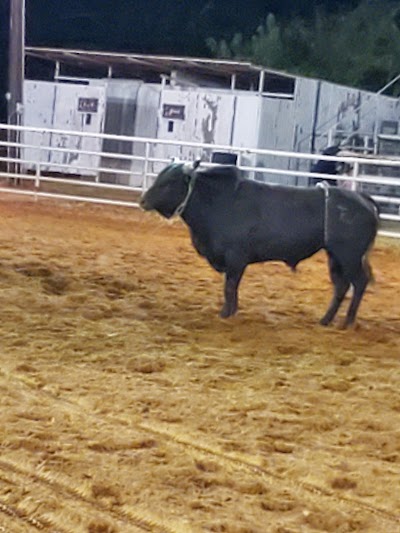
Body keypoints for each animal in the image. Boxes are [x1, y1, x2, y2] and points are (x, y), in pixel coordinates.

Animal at [140, 160, 378, 326]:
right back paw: (326, 320)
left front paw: (225, 313)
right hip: (335, 256)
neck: (220, 202)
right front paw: (231, 311)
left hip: (350, 256)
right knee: (341, 286)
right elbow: (231, 288)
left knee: (359, 282)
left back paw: (347, 322)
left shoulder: (236, 258)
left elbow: (230, 287)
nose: (143, 201)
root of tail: (364, 200)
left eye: (169, 182)